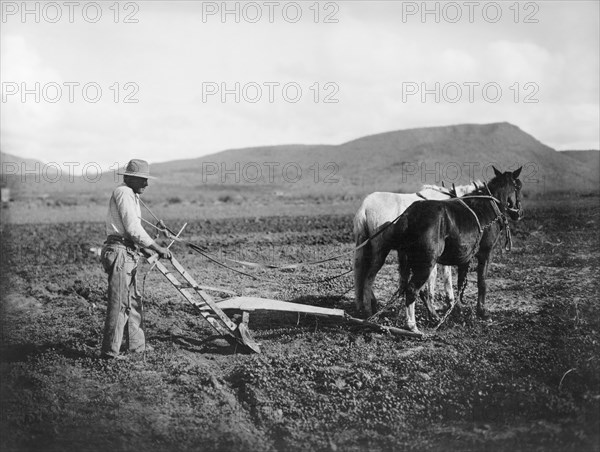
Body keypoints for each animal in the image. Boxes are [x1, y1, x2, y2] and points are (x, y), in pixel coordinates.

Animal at [354, 180, 480, 318]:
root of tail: (365, 207)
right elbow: (443, 276)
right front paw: (448, 304)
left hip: (364, 246)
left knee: (360, 272)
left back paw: (363, 305)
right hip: (380, 249)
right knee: (368, 276)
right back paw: (369, 309)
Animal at [382, 167, 524, 332]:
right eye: (518, 186)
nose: (519, 213)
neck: (488, 206)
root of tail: (409, 214)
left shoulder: (466, 257)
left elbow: (462, 282)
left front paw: (459, 307)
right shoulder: (485, 253)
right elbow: (482, 282)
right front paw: (482, 312)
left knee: (419, 290)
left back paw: (434, 317)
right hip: (426, 264)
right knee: (412, 290)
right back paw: (412, 325)